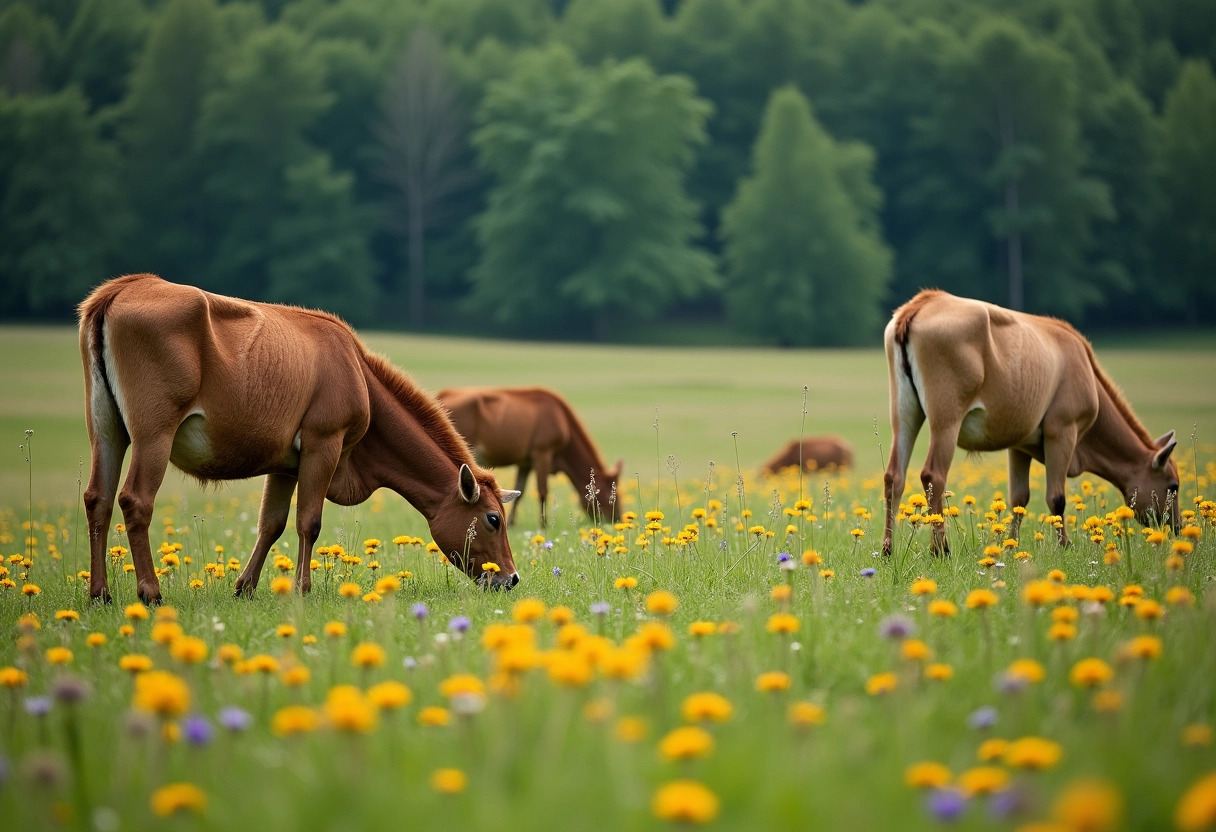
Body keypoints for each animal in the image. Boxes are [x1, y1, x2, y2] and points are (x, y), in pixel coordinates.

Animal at [80, 276, 518, 600]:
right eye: (493, 519)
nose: (511, 578)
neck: (360, 375)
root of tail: (122, 287)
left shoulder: (284, 463)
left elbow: (270, 523)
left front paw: (246, 587)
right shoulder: (323, 443)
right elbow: (309, 521)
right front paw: (302, 589)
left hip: (105, 428)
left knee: (98, 498)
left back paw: (100, 593)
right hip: (154, 432)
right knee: (135, 500)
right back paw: (150, 592)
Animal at [437, 389, 622, 530]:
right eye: (610, 495)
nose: (617, 518)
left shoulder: (525, 463)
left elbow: (520, 491)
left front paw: (511, 523)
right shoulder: (543, 452)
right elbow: (542, 491)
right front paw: (544, 524)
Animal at [885, 289, 1177, 554]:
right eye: (1173, 485)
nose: (1175, 527)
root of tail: (923, 302)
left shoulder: (1019, 444)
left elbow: (1019, 498)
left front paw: (1010, 546)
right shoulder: (1062, 431)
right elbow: (1056, 497)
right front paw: (1064, 546)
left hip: (904, 414)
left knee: (894, 476)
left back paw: (888, 550)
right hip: (947, 418)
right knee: (933, 475)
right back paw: (940, 549)